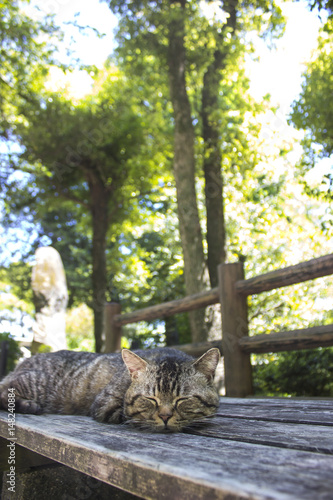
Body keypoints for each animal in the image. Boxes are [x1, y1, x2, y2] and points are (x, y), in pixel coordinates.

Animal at [0, 346, 220, 432]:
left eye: (182, 400)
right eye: (150, 399)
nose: (165, 416)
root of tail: (22, 362)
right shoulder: (104, 405)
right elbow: (131, 416)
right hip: (36, 383)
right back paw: (28, 405)